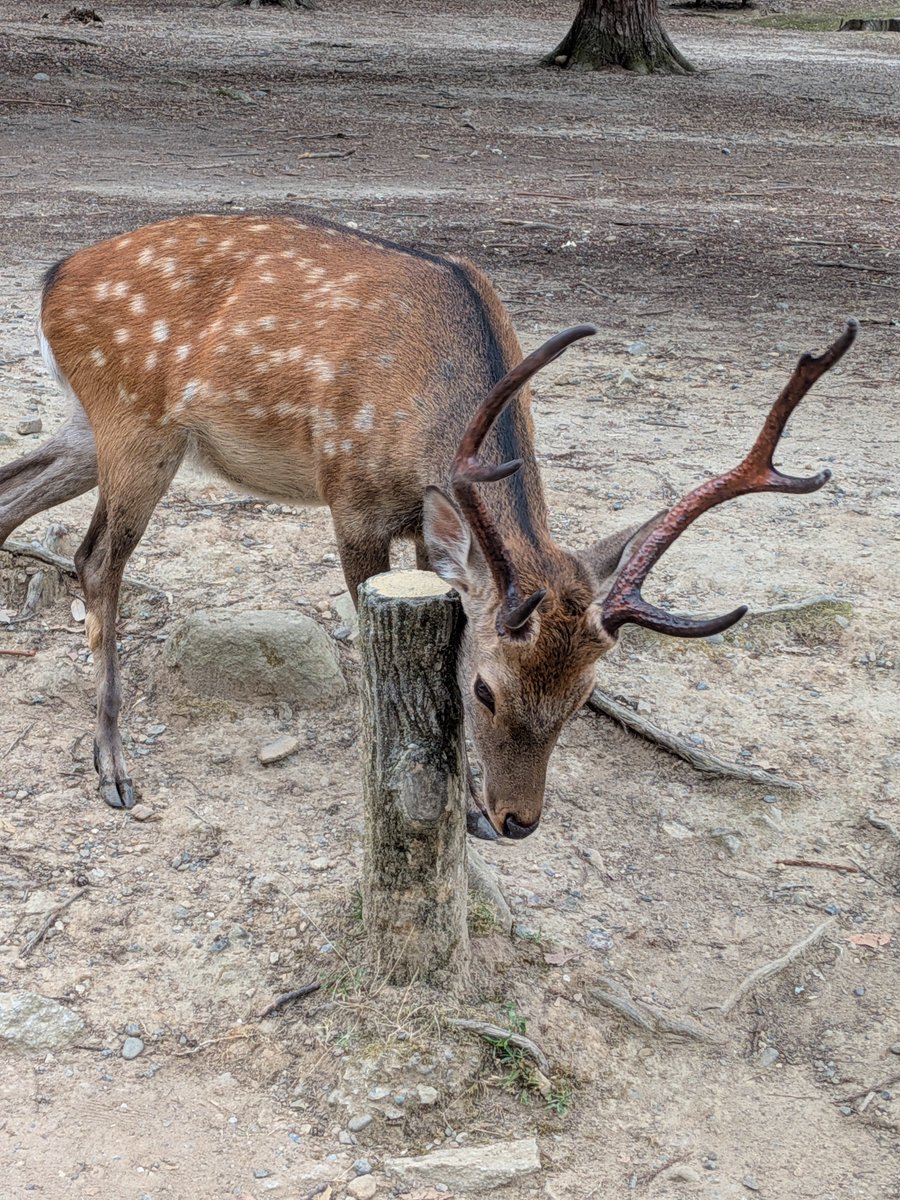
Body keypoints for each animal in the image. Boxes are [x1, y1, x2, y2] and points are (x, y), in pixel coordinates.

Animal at [0, 212, 856, 838]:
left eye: (583, 698)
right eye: (486, 690)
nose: (517, 821)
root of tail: (50, 278)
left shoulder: (427, 523)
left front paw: (466, 803)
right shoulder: (350, 493)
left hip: (90, 426)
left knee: (14, 495)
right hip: (134, 420)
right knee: (96, 558)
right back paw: (113, 766)